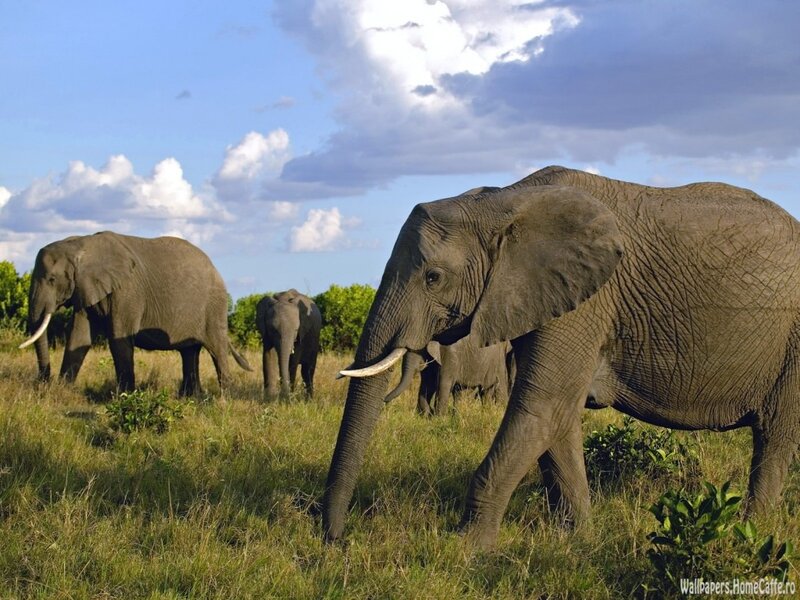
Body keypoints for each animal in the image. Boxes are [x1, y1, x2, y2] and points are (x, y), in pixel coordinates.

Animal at [20, 231, 251, 395]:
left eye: (52, 279)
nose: (42, 381)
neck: (81, 244)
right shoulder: (86, 289)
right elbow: (79, 337)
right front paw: (62, 391)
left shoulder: (127, 292)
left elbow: (119, 339)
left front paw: (124, 396)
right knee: (189, 351)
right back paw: (190, 397)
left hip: (214, 306)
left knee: (216, 348)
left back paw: (224, 398)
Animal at [384, 336, 513, 415]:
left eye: (419, 349)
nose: (384, 401)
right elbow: (428, 384)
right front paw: (426, 415)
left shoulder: (449, 355)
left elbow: (443, 384)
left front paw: (438, 418)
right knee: (462, 392)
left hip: (496, 361)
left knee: (492, 388)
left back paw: (496, 412)